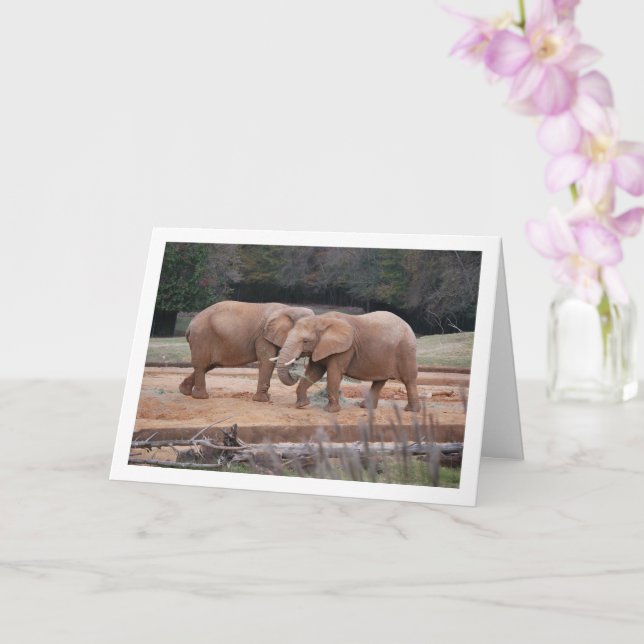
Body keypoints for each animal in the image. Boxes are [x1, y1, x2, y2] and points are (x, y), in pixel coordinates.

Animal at [179, 301, 314, 400]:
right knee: (202, 365)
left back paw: (184, 391)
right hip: (201, 337)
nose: (297, 371)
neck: (290, 309)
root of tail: (190, 325)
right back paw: (201, 397)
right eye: (306, 340)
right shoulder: (263, 337)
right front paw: (262, 400)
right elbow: (267, 361)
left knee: (209, 365)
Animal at [274, 311, 420, 413]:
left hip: (406, 350)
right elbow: (314, 372)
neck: (321, 320)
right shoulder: (320, 347)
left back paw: (411, 410)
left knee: (409, 379)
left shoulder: (345, 349)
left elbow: (333, 373)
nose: (294, 373)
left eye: (305, 341)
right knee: (379, 381)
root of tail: (408, 325)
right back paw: (365, 407)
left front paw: (330, 411)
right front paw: (301, 405)